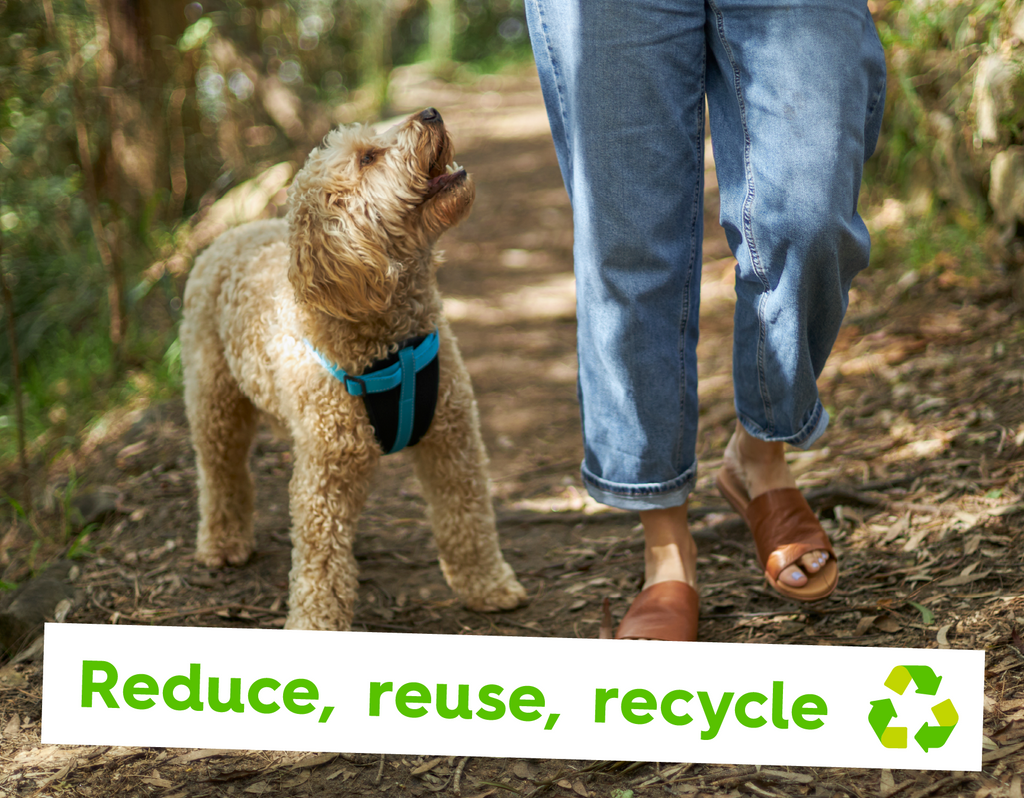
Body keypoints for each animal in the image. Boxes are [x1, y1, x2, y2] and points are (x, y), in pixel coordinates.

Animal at [179, 107, 524, 631]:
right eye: (368, 158)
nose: (431, 112)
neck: (392, 342)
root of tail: (230, 234)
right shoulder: (325, 473)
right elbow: (321, 562)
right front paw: (316, 625)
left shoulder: (453, 438)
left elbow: (467, 517)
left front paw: (487, 585)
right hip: (213, 400)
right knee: (221, 473)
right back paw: (222, 543)